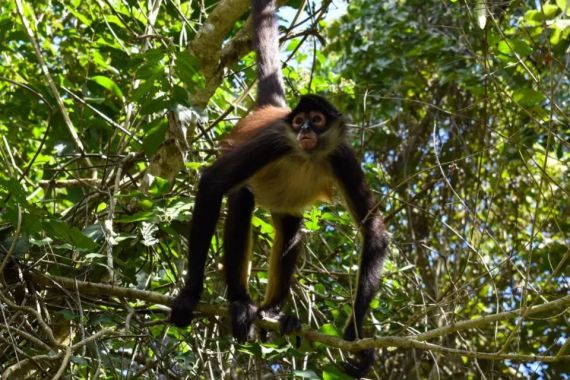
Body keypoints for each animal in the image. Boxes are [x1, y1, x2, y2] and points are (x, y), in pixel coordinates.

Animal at [169, 0, 388, 376]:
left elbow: (373, 229)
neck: (304, 154)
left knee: (292, 227)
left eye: (317, 120)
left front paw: (354, 335)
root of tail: (272, 109)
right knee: (242, 199)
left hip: (286, 209)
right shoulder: (275, 141)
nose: (305, 130)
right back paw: (240, 302)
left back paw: (273, 311)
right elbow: (212, 182)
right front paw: (189, 295)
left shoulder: (341, 155)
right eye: (300, 122)